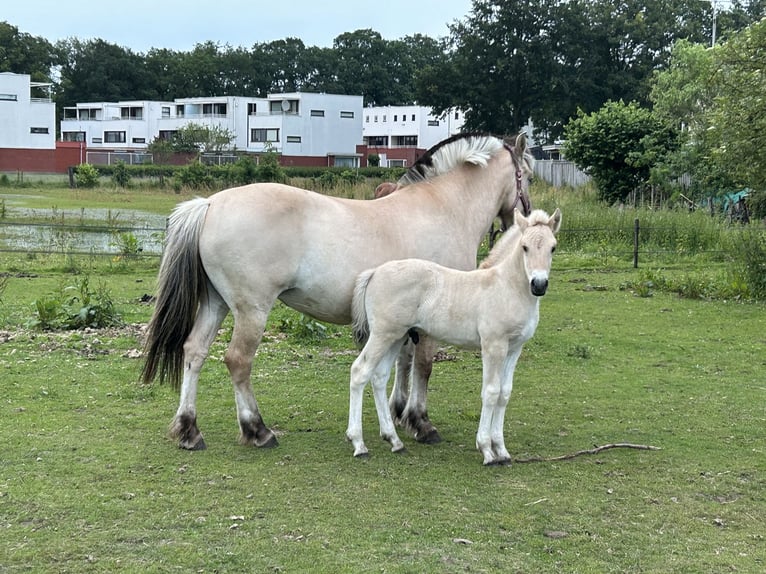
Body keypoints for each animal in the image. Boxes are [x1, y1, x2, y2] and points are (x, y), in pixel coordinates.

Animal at [141, 133, 536, 452]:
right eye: (529, 177)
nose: (525, 215)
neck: (443, 209)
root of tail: (209, 204)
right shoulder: (430, 320)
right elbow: (423, 366)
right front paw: (421, 423)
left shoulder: (407, 319)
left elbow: (404, 363)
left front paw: (399, 414)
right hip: (251, 310)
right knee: (238, 360)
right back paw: (258, 430)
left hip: (217, 303)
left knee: (194, 352)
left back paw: (189, 430)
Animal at [352, 209, 560, 466]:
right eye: (524, 247)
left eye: (553, 247)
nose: (539, 285)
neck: (507, 288)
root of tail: (374, 273)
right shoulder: (493, 346)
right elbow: (491, 392)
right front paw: (487, 450)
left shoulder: (514, 348)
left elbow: (504, 393)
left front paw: (502, 450)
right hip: (383, 334)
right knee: (359, 372)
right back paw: (359, 443)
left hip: (396, 337)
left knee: (379, 377)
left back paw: (394, 440)